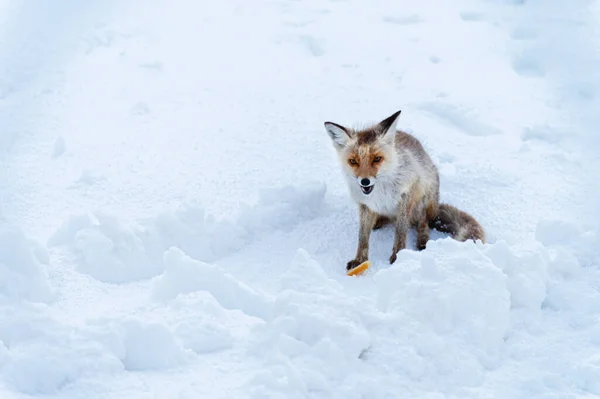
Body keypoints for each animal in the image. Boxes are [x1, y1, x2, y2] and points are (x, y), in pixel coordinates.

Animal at [324, 109, 488, 272]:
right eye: (353, 161)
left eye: (377, 159)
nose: (365, 181)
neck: (380, 195)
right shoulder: (364, 205)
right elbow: (363, 237)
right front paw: (360, 260)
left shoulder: (407, 193)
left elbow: (401, 231)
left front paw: (398, 257)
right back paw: (379, 222)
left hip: (420, 203)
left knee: (423, 222)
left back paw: (423, 241)